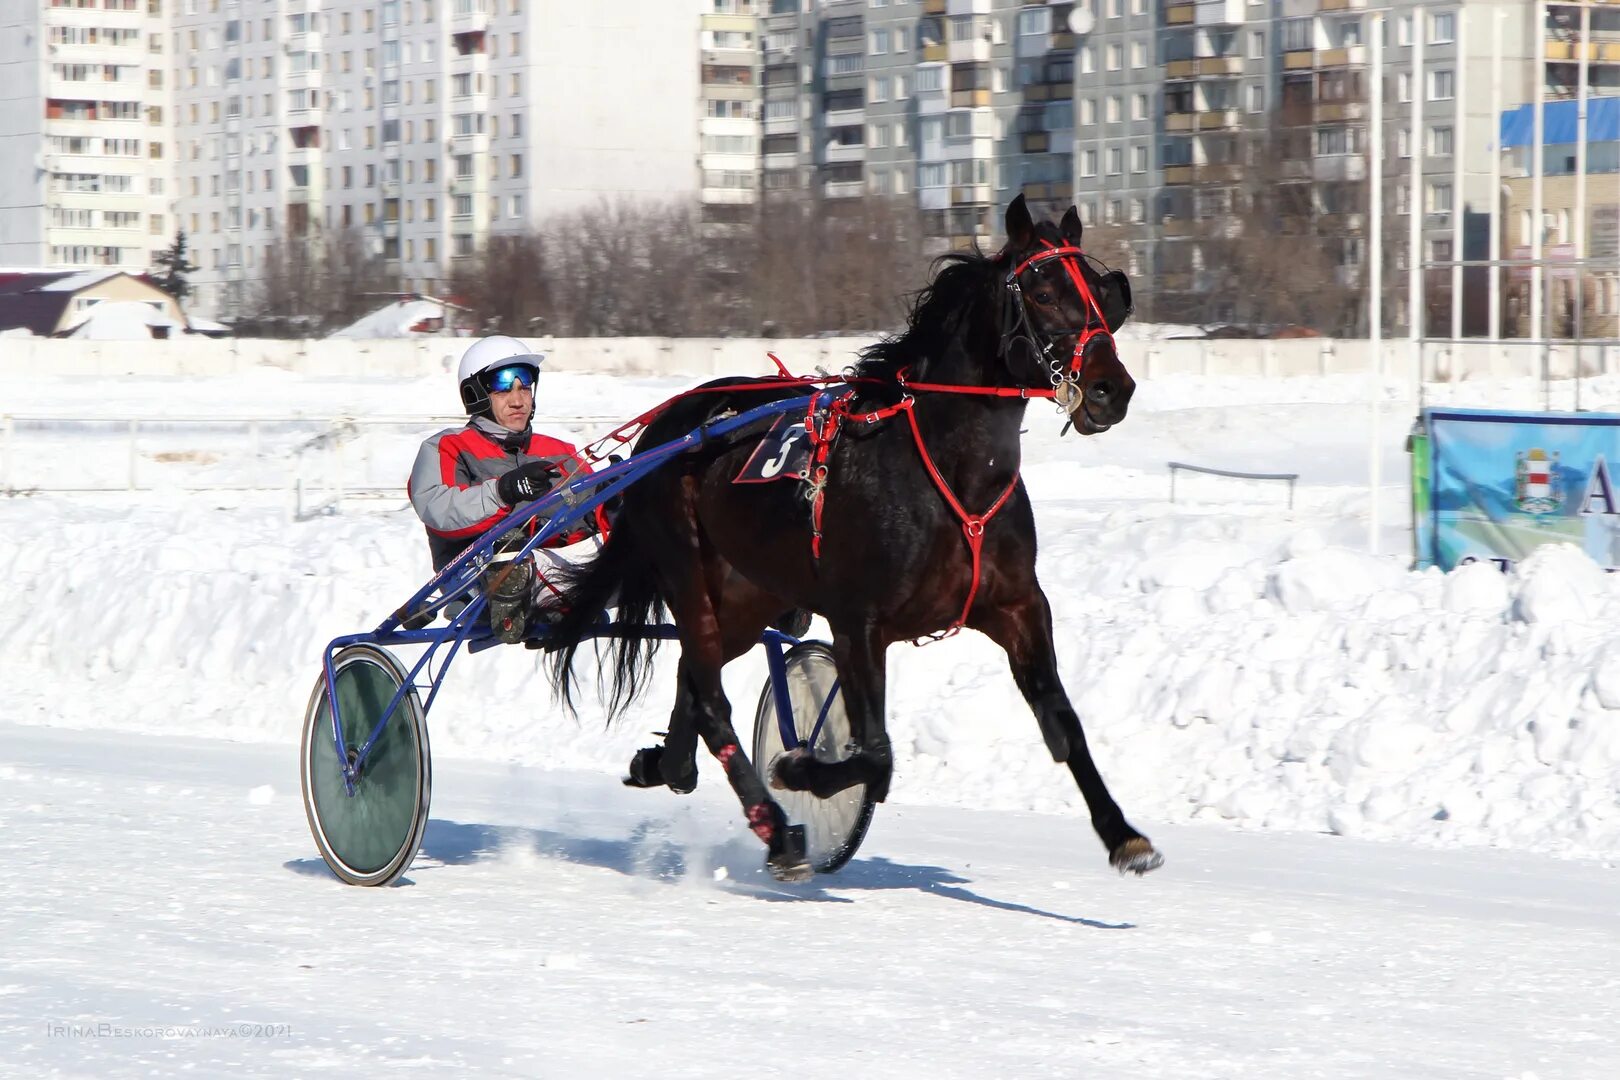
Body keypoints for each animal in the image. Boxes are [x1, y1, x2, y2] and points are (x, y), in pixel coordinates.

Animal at [550, 196, 1159, 880]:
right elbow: (876, 754)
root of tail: (668, 426)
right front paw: (799, 767)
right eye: (1045, 291)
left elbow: (1062, 724)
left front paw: (1122, 834)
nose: (1112, 389)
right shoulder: (859, 623)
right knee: (711, 697)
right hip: (686, 568)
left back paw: (670, 765)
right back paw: (777, 831)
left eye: (1105, 295)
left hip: (749, 594)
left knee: (694, 681)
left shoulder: (1018, 607)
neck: (950, 474)